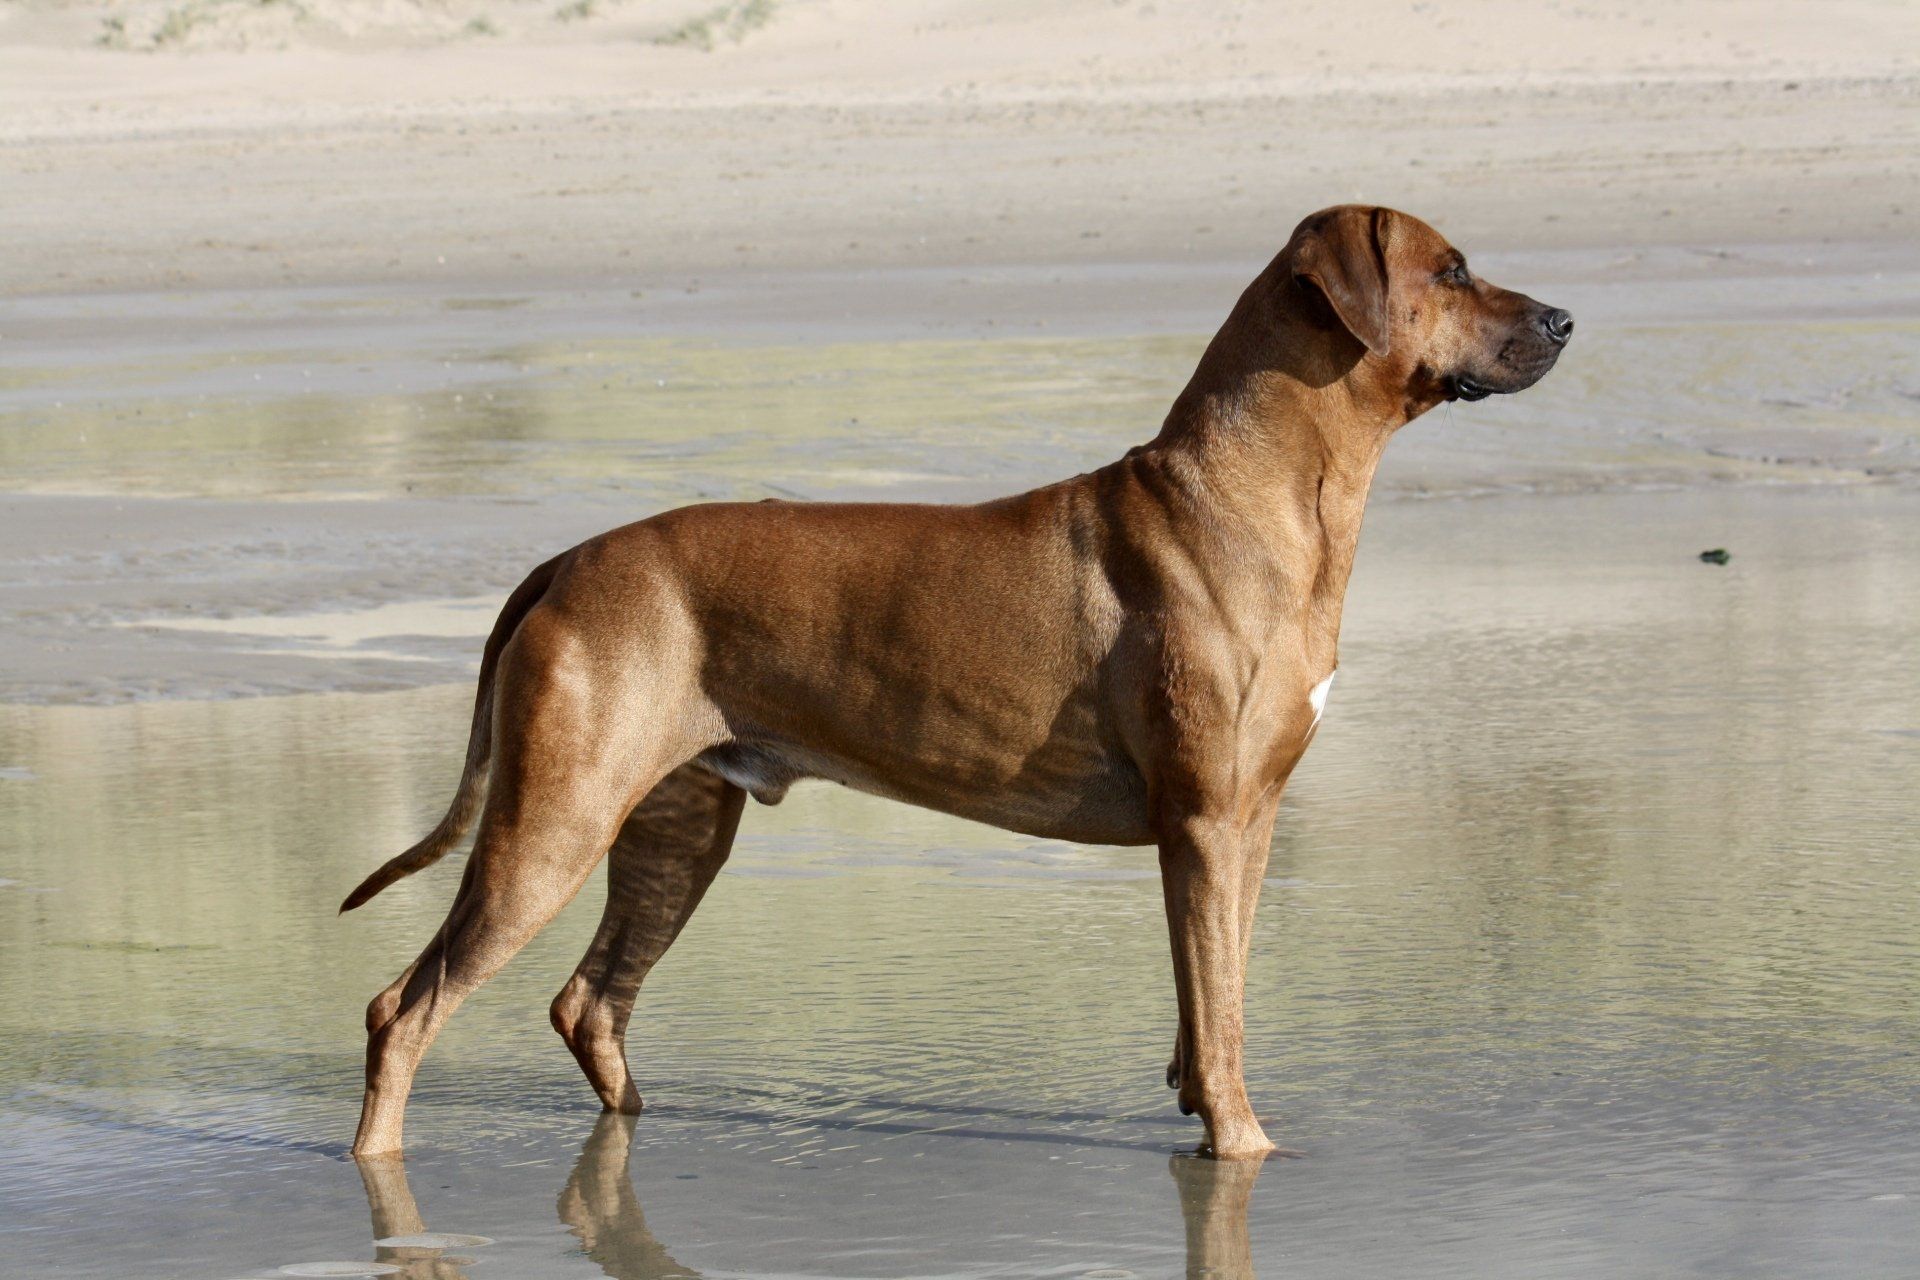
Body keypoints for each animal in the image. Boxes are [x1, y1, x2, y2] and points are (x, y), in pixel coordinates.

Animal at [340, 204, 1572, 1159]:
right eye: (1451, 271)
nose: (1565, 319)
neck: (1251, 493)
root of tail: (568, 557)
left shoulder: (1244, 822)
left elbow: (1211, 998)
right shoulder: (1208, 822)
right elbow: (1220, 1017)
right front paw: (1246, 1145)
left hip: (674, 826)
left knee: (589, 1001)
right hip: (553, 819)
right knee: (404, 1007)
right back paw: (377, 1165)